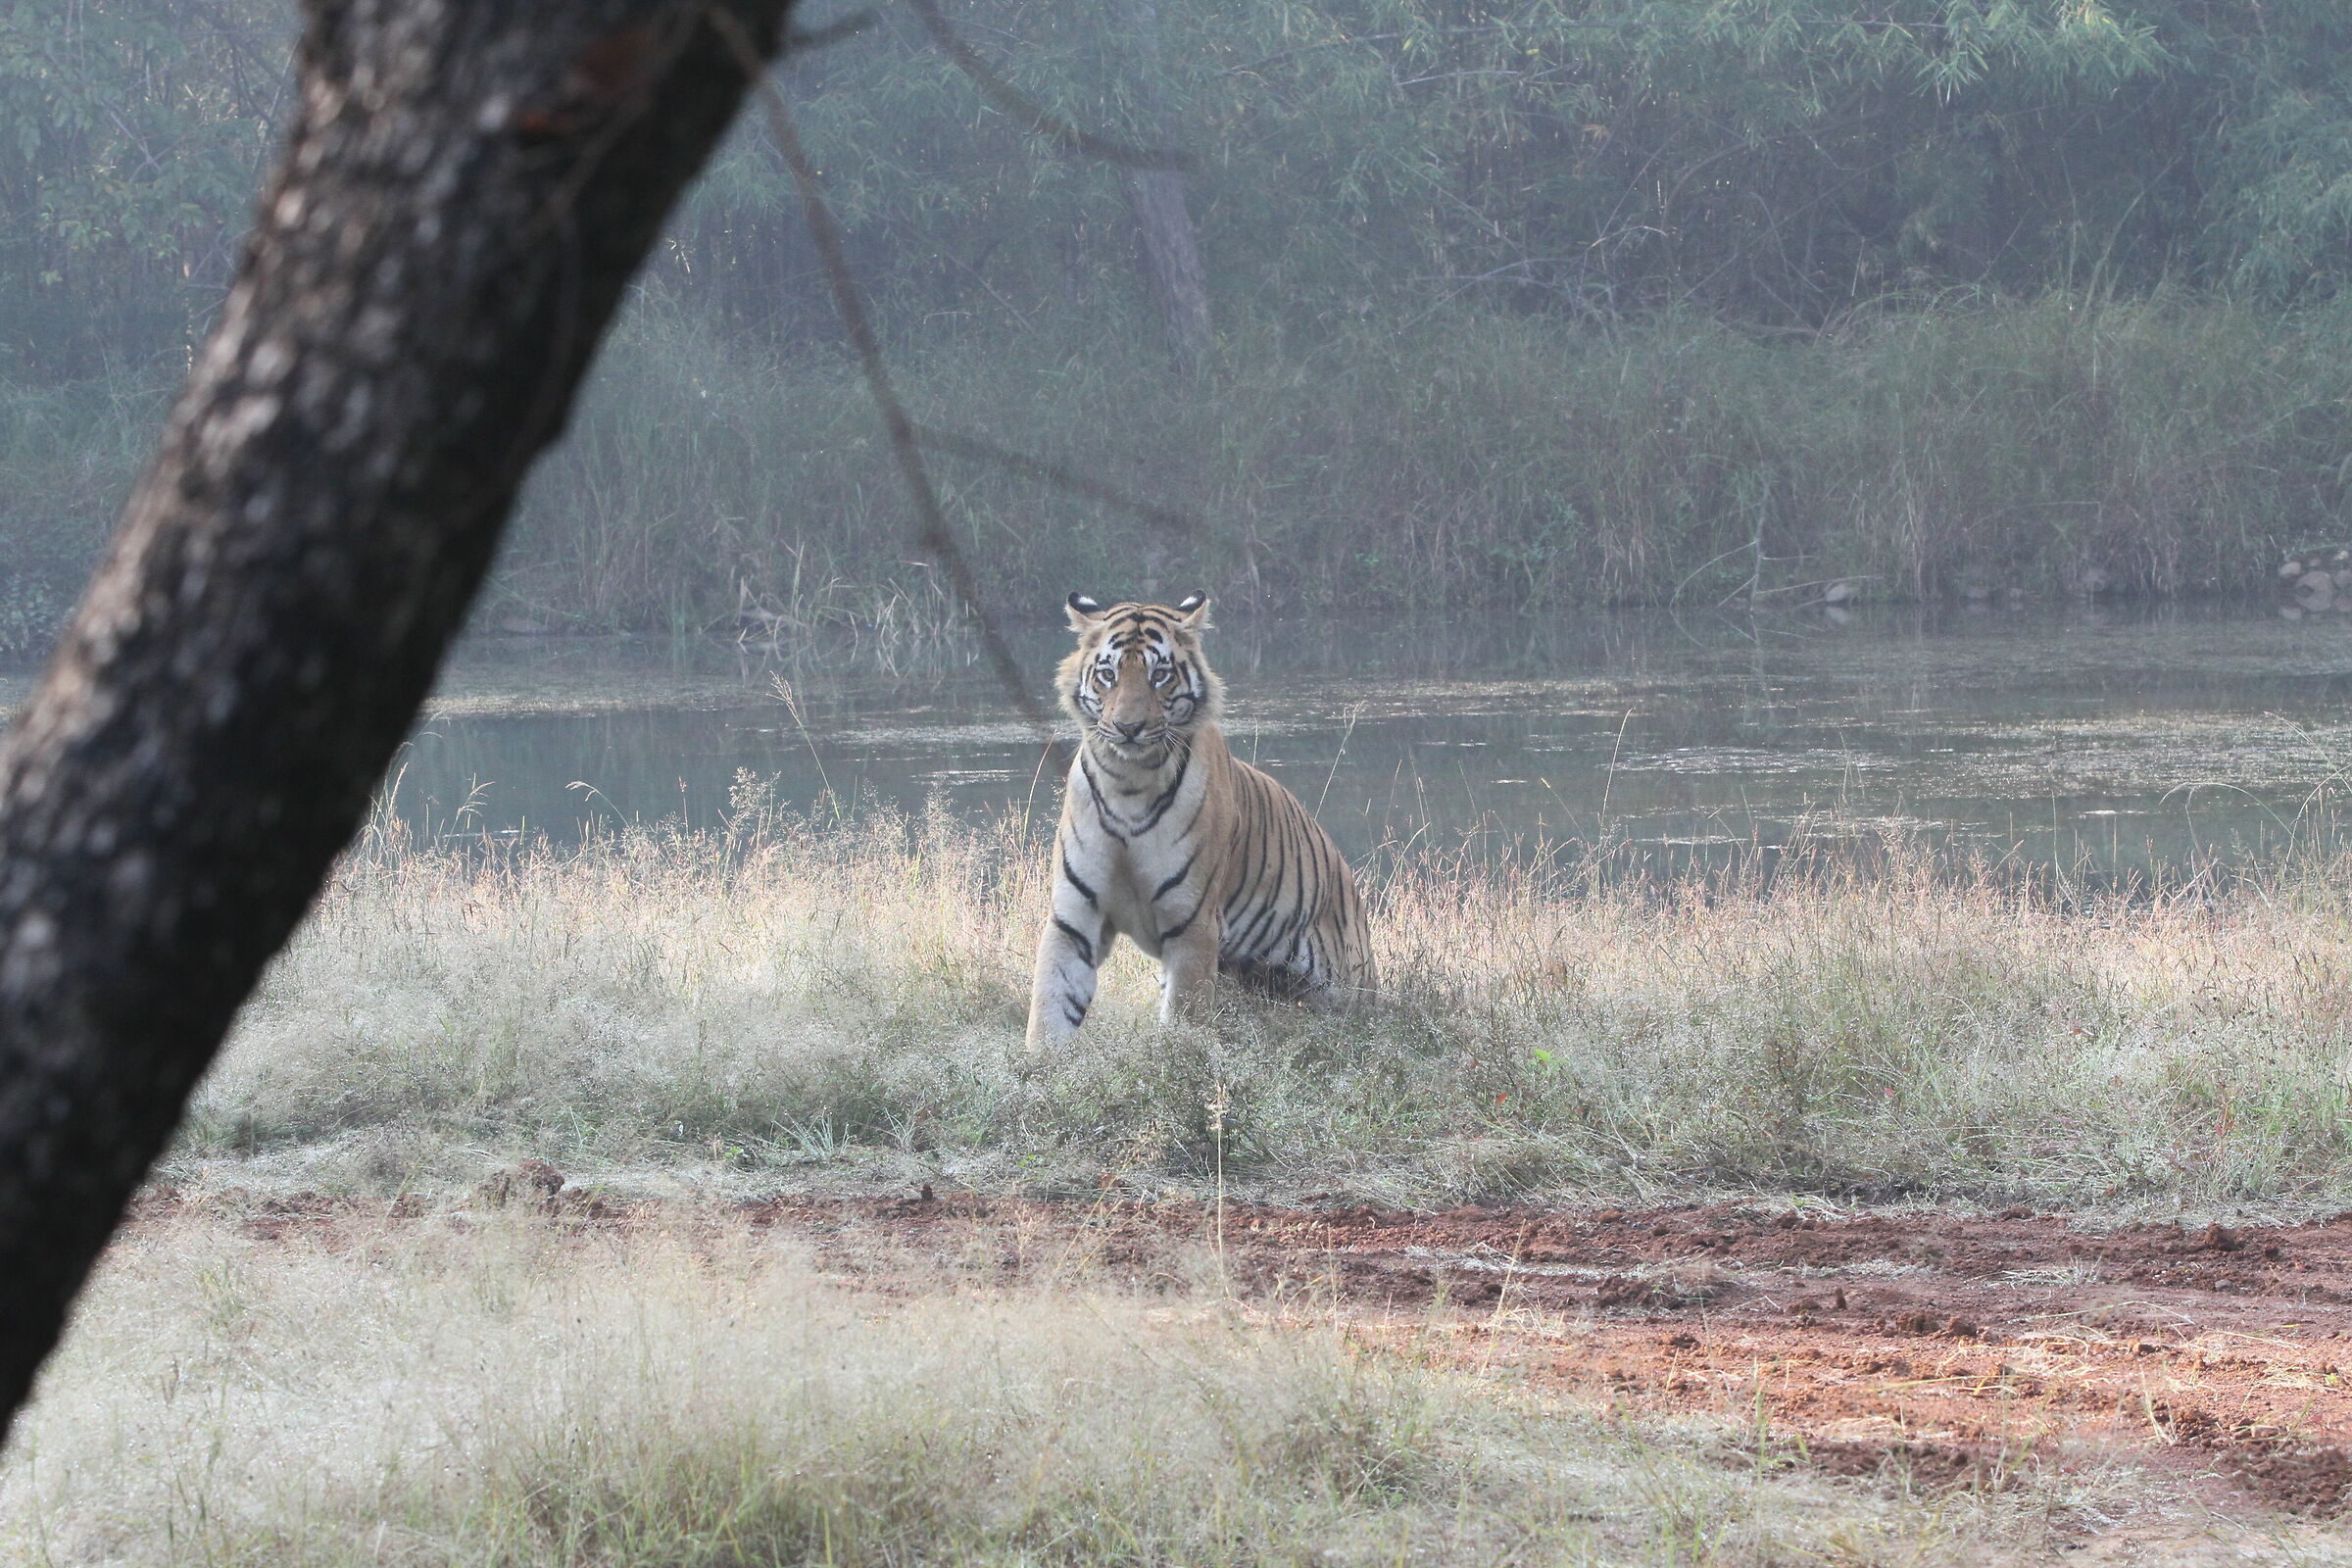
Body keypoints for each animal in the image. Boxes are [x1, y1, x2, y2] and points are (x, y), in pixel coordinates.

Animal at [1025, 590, 1375, 1051]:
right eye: (1107, 674)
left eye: (1159, 675)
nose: (1128, 727)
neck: (1127, 783)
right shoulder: (1074, 917)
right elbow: (1050, 1008)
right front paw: (1040, 1064)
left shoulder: (1192, 924)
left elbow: (1184, 1020)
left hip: (1345, 984)